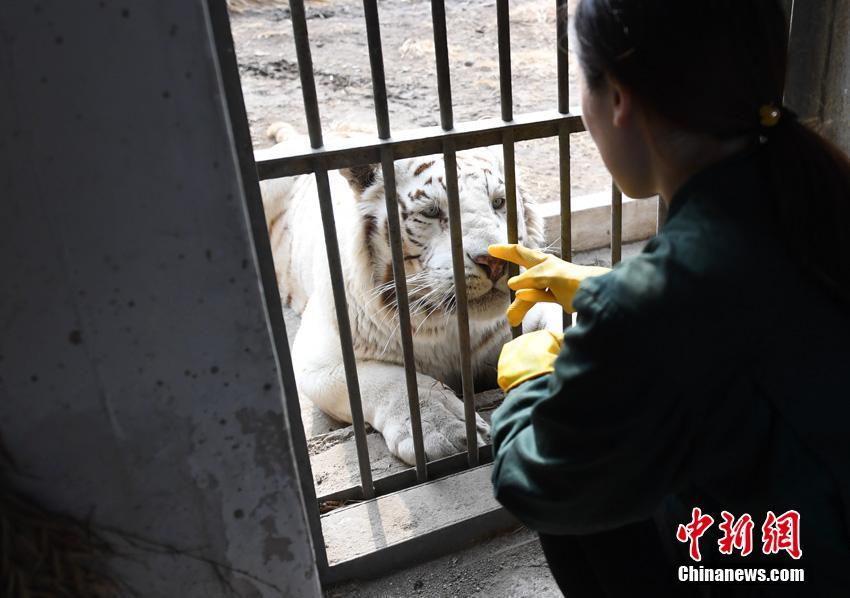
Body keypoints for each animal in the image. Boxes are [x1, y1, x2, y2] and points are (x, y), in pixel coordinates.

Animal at [255, 124, 556, 466]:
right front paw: (444, 428)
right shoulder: (316, 357)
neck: (447, 327)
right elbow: (392, 381)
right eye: (432, 211)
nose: (495, 262)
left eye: (499, 202)